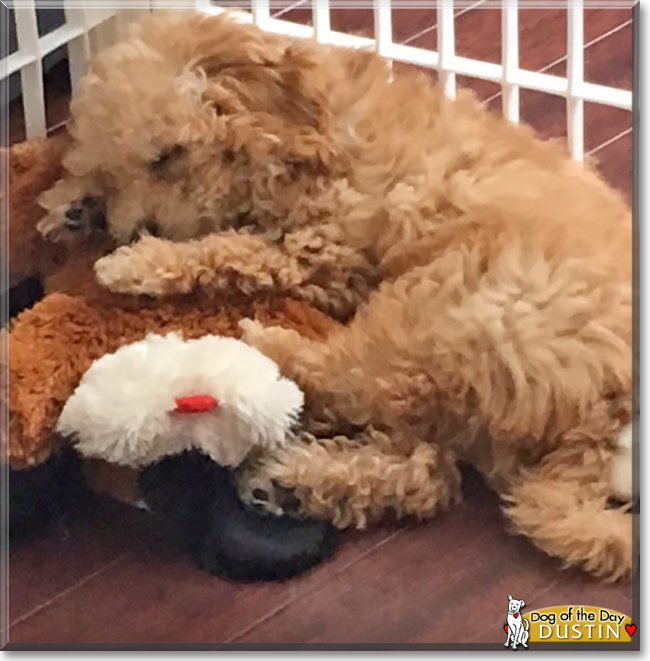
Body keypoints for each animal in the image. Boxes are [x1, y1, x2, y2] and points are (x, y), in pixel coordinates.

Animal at [36, 9, 632, 576]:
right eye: (112, 175)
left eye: (168, 156)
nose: (133, 230)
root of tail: (605, 418)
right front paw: (73, 204)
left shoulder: (325, 251)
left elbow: (232, 251)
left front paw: (137, 264)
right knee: (426, 472)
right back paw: (293, 483)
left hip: (452, 307)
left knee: (352, 383)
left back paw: (265, 350)